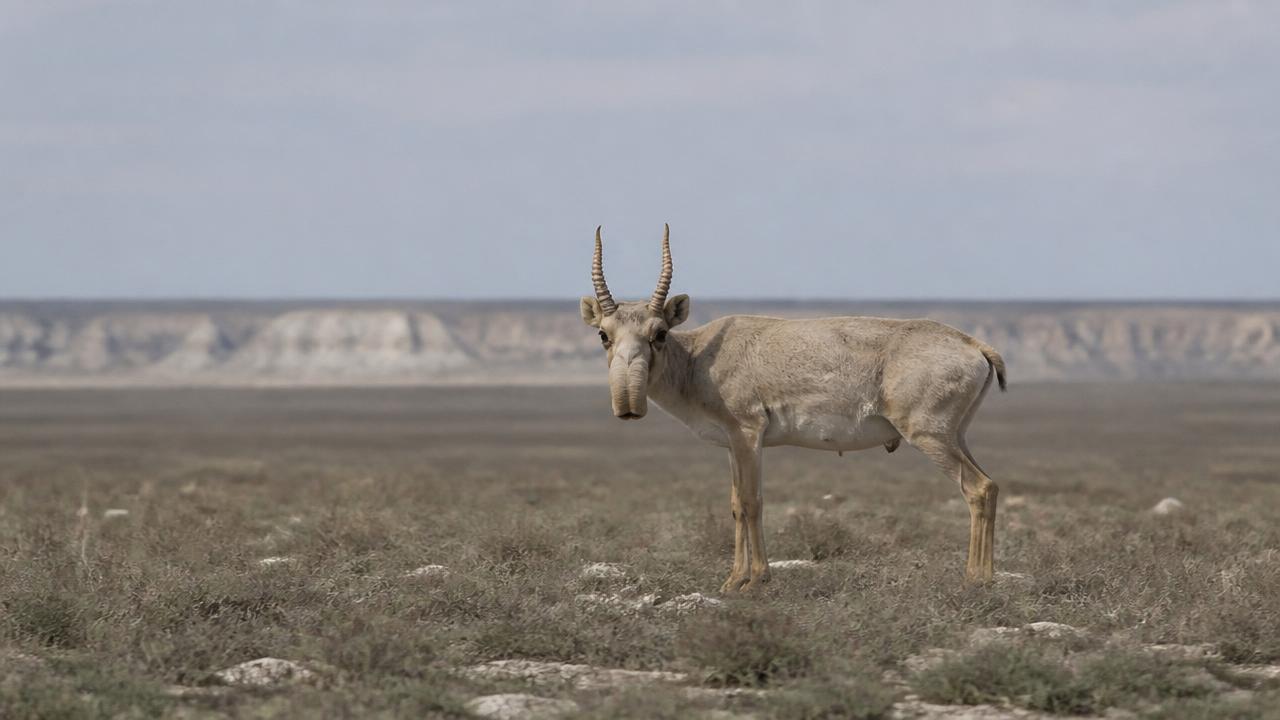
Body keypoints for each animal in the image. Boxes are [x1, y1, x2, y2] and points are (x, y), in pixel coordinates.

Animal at [580, 225, 1007, 592]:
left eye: (660, 333)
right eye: (603, 334)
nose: (628, 407)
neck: (701, 356)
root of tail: (975, 345)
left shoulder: (748, 435)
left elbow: (751, 502)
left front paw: (755, 580)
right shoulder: (733, 445)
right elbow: (736, 504)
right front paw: (732, 581)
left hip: (929, 436)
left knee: (978, 487)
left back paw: (975, 580)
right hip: (956, 436)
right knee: (990, 485)